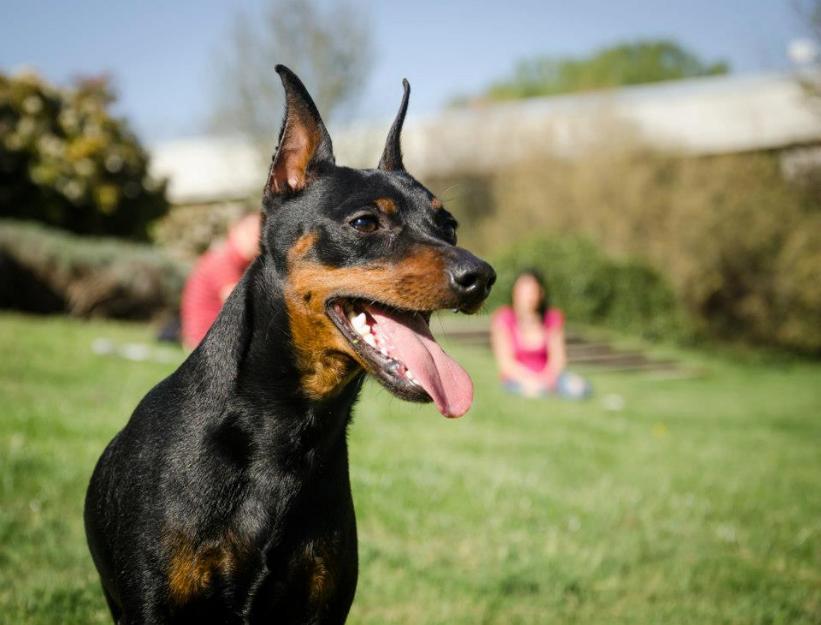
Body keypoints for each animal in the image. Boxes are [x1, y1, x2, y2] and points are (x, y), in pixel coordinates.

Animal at [83, 64, 494, 624]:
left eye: (448, 225)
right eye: (366, 222)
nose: (482, 277)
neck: (286, 434)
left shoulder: (322, 606)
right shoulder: (152, 607)